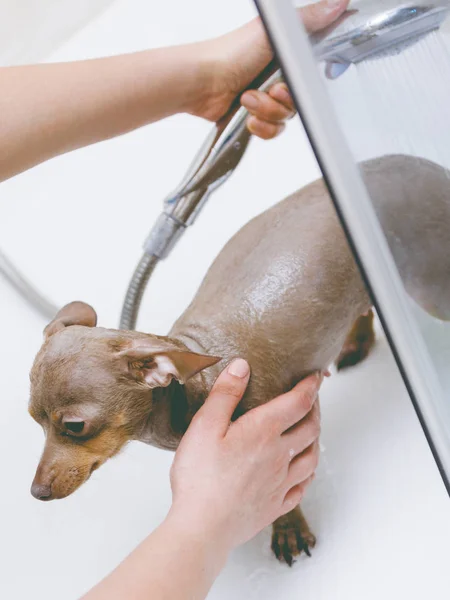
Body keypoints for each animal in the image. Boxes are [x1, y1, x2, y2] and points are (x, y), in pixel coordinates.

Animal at [28, 154, 450, 564]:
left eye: (76, 426)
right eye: (35, 420)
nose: (36, 492)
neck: (198, 390)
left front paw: (288, 528)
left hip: (431, 284)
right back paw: (357, 340)